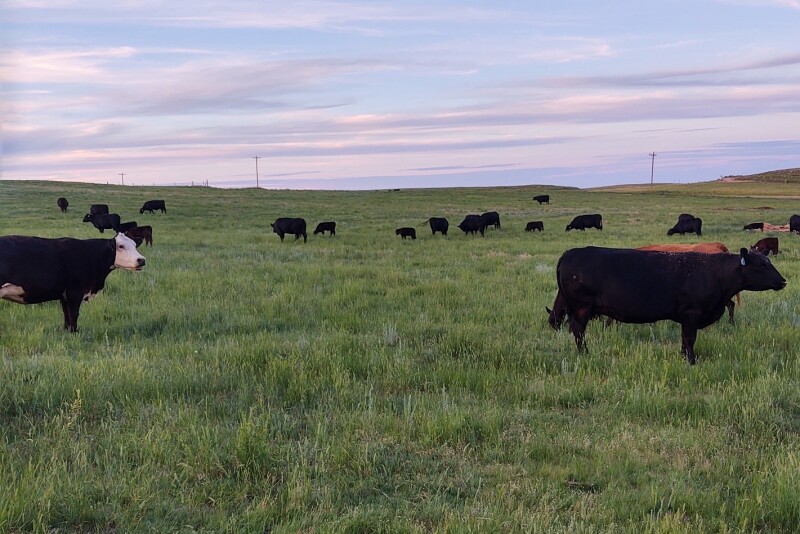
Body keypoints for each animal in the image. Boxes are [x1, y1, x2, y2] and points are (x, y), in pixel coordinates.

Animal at [0, 233, 145, 332]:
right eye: (121, 246)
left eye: (135, 245)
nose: (142, 260)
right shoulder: (75, 291)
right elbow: (74, 314)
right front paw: (74, 333)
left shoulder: (64, 295)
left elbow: (66, 314)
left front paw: (66, 331)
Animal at [554, 246, 786, 364]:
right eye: (762, 265)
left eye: (768, 263)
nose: (783, 281)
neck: (714, 273)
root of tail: (569, 253)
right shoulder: (692, 314)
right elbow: (689, 338)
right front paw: (691, 361)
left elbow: (684, 339)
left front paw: (684, 356)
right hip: (582, 307)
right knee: (578, 329)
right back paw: (584, 353)